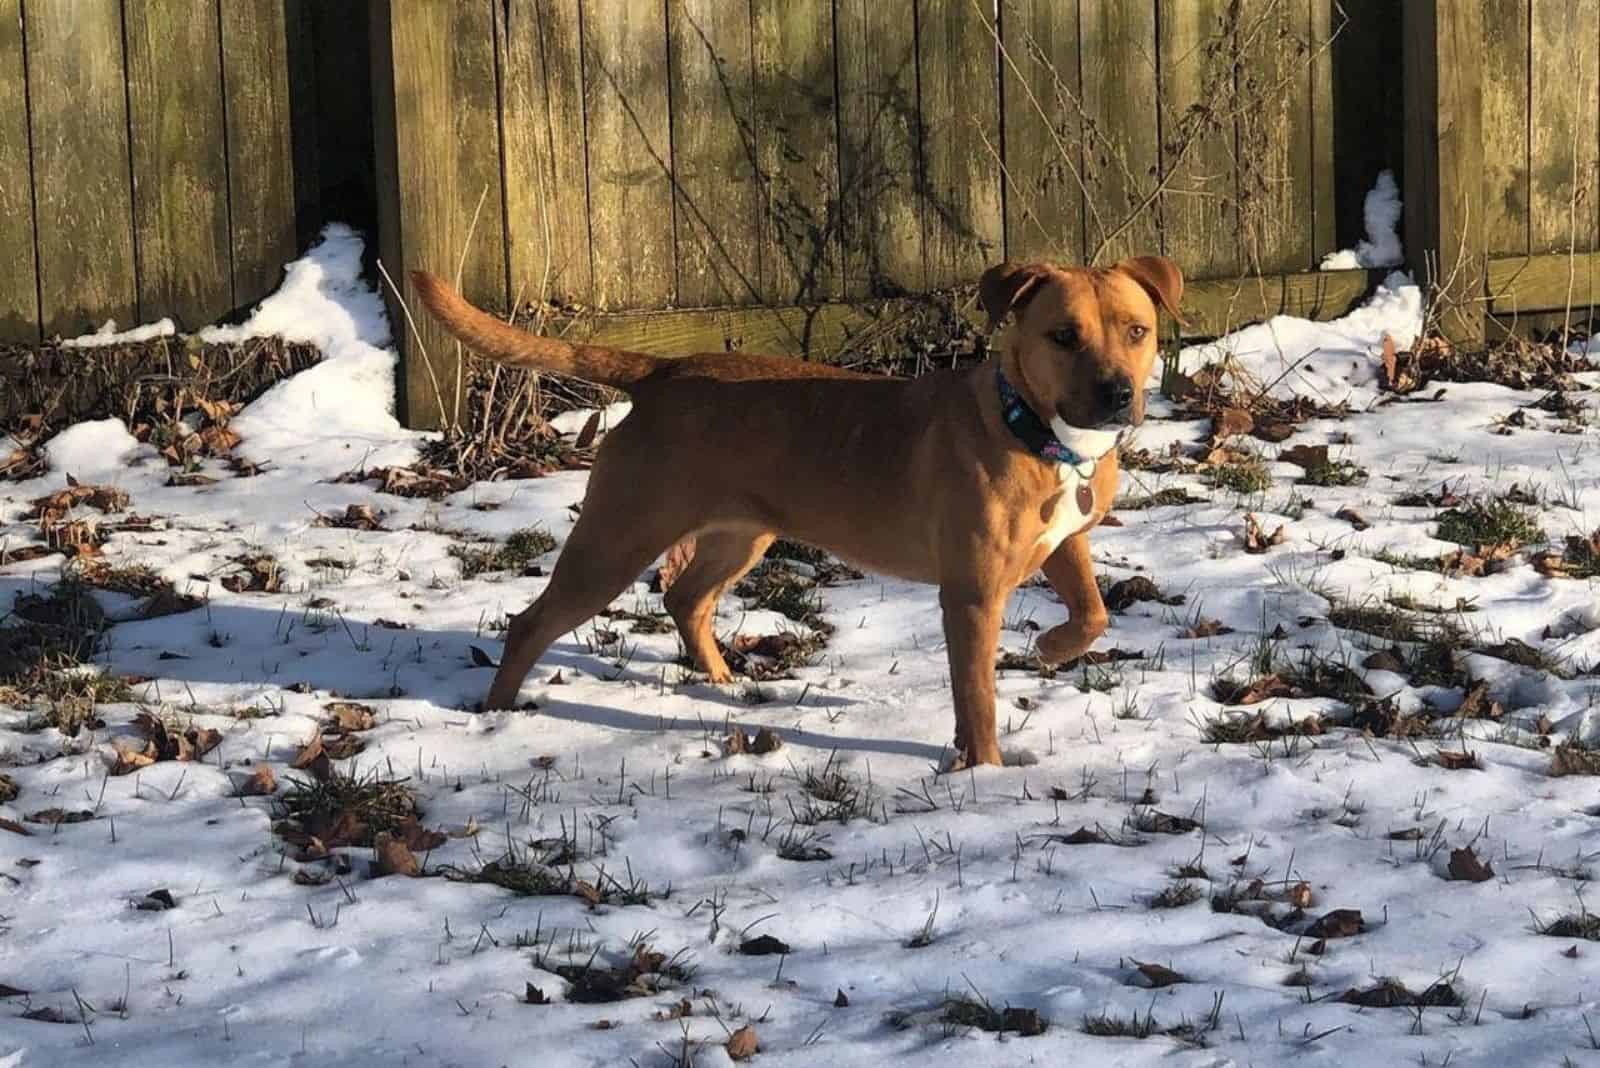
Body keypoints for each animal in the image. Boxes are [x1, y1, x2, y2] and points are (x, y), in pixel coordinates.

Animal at [409, 260, 1190, 767]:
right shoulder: (970, 595)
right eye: (1063, 336)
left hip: (738, 535)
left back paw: (719, 681)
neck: (1035, 429)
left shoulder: (1066, 543)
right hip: (617, 539)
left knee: (686, 597)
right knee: (531, 622)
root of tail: (660, 371)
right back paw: (498, 713)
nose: (1118, 394)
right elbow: (978, 696)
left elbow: (1094, 613)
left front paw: (1053, 648)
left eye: (1136, 330)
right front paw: (984, 770)